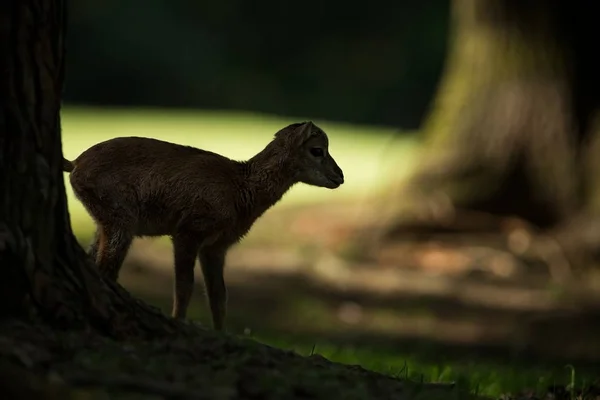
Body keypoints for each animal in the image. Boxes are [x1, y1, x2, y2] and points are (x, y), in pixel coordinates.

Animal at [61, 122, 344, 332]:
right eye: (317, 150)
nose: (340, 176)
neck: (241, 188)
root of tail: (74, 163)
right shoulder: (188, 232)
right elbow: (184, 286)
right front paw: (178, 322)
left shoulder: (217, 246)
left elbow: (219, 295)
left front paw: (222, 334)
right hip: (120, 220)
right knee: (106, 268)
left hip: (103, 223)